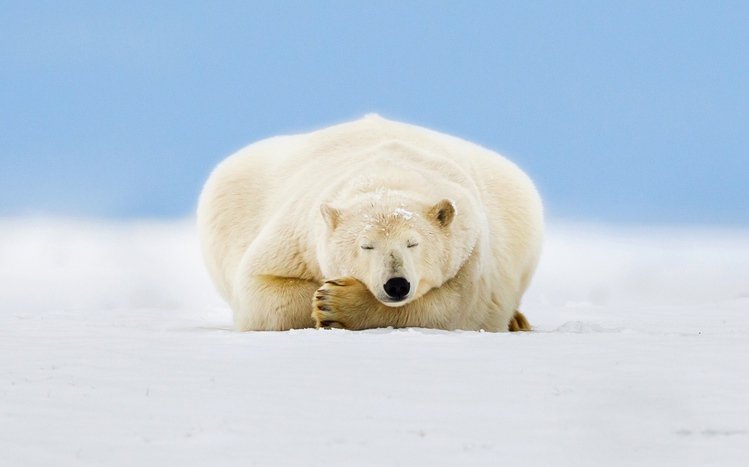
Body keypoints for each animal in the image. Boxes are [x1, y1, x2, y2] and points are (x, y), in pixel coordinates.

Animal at [197, 114, 543, 332]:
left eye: (413, 243)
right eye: (366, 246)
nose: (396, 284)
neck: (387, 174)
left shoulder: (472, 250)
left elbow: (455, 307)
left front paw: (337, 303)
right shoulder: (297, 236)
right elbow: (259, 289)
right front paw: (323, 296)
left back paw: (518, 321)